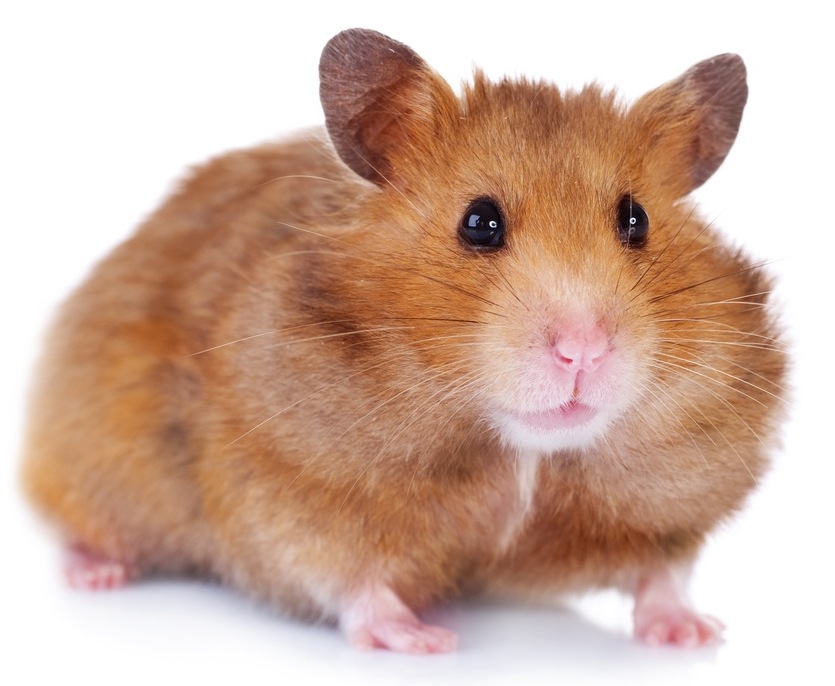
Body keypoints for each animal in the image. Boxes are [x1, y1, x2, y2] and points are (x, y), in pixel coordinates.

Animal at [21, 28, 787, 653]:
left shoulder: (673, 503)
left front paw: (694, 634)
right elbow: (347, 578)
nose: (583, 350)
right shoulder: (286, 494)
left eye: (636, 220)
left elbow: (663, 570)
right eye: (478, 222)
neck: (522, 451)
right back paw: (97, 574)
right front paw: (423, 642)